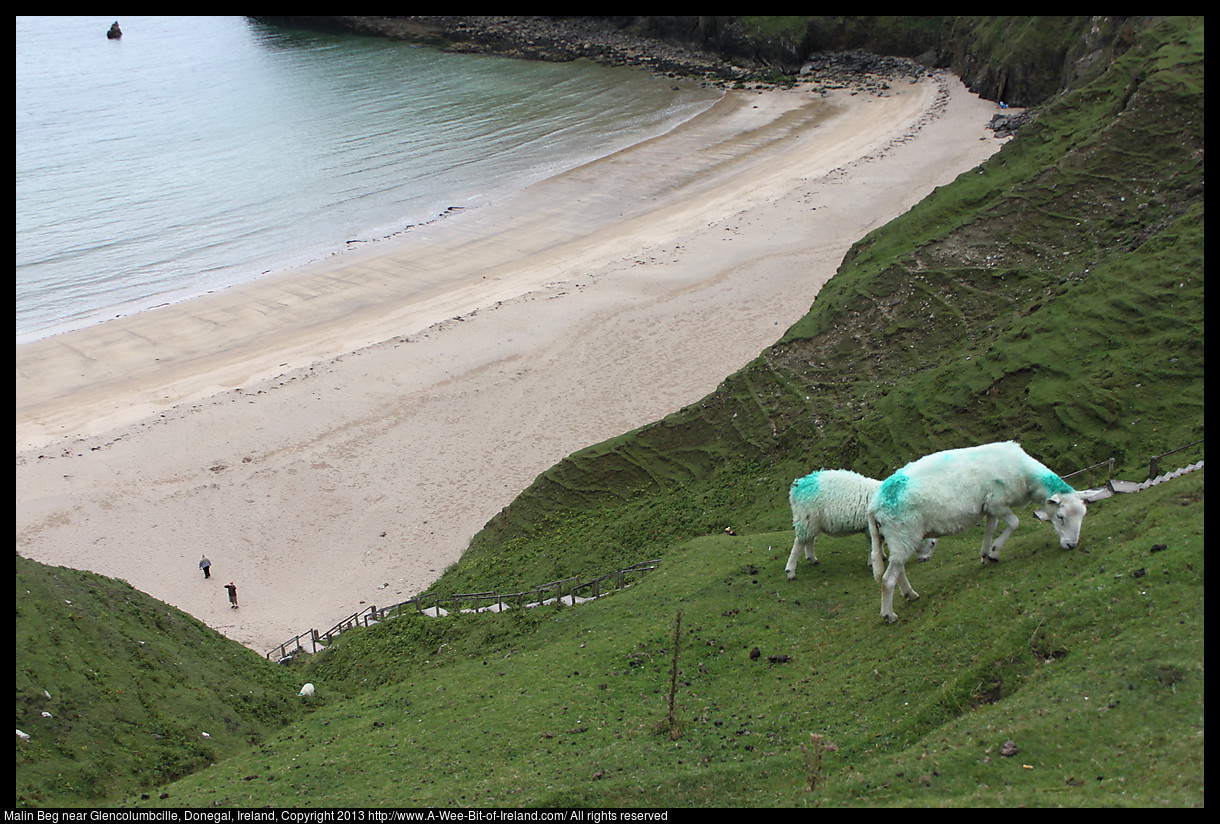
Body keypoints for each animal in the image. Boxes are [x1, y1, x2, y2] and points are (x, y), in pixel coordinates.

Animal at [780, 471, 932, 581]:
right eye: (932, 543)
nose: (926, 560)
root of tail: (799, 484)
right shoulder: (871, 527)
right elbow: (873, 543)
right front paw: (873, 563)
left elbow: (878, 541)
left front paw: (881, 555)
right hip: (806, 517)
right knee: (799, 542)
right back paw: (790, 571)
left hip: (813, 521)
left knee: (809, 539)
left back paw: (812, 559)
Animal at [863, 441, 1112, 622]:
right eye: (1060, 517)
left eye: (1082, 516)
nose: (1072, 545)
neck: (1025, 475)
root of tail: (875, 504)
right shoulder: (998, 502)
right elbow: (1015, 523)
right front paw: (994, 553)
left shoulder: (989, 507)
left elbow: (991, 529)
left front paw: (986, 554)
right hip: (904, 534)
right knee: (887, 579)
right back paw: (889, 614)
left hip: (900, 538)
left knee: (898, 570)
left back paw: (910, 594)